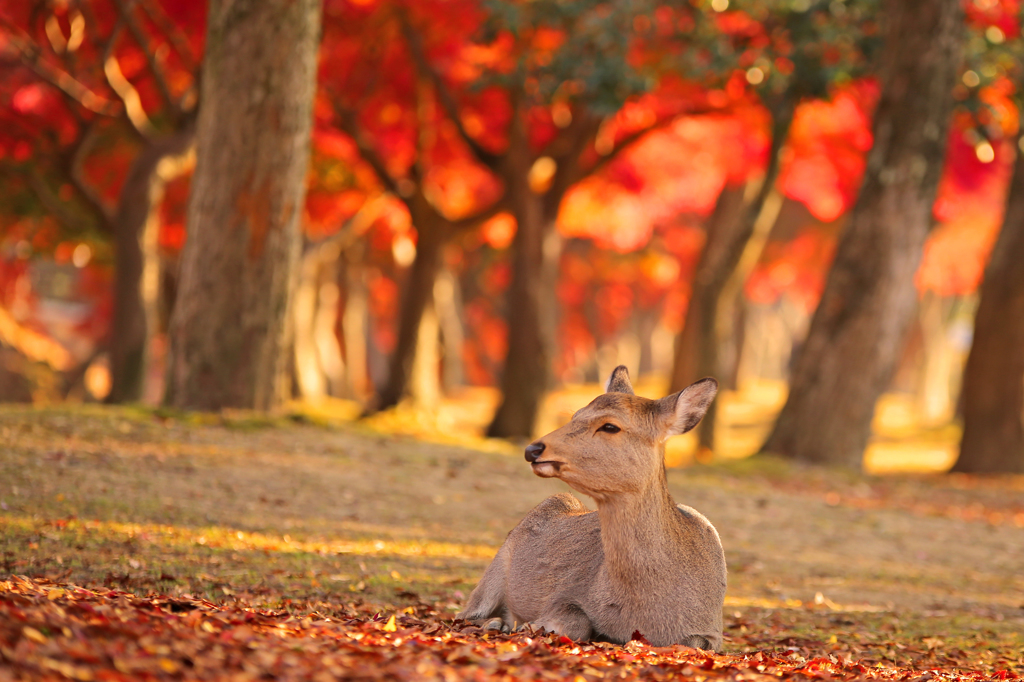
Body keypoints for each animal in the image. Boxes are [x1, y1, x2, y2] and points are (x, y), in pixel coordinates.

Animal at [456, 366, 729, 647]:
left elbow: (692, 642)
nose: (532, 449)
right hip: (495, 568)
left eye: (610, 426)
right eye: (575, 415)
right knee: (464, 614)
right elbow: (577, 620)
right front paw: (529, 625)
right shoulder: (566, 593)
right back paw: (496, 623)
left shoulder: (713, 630)